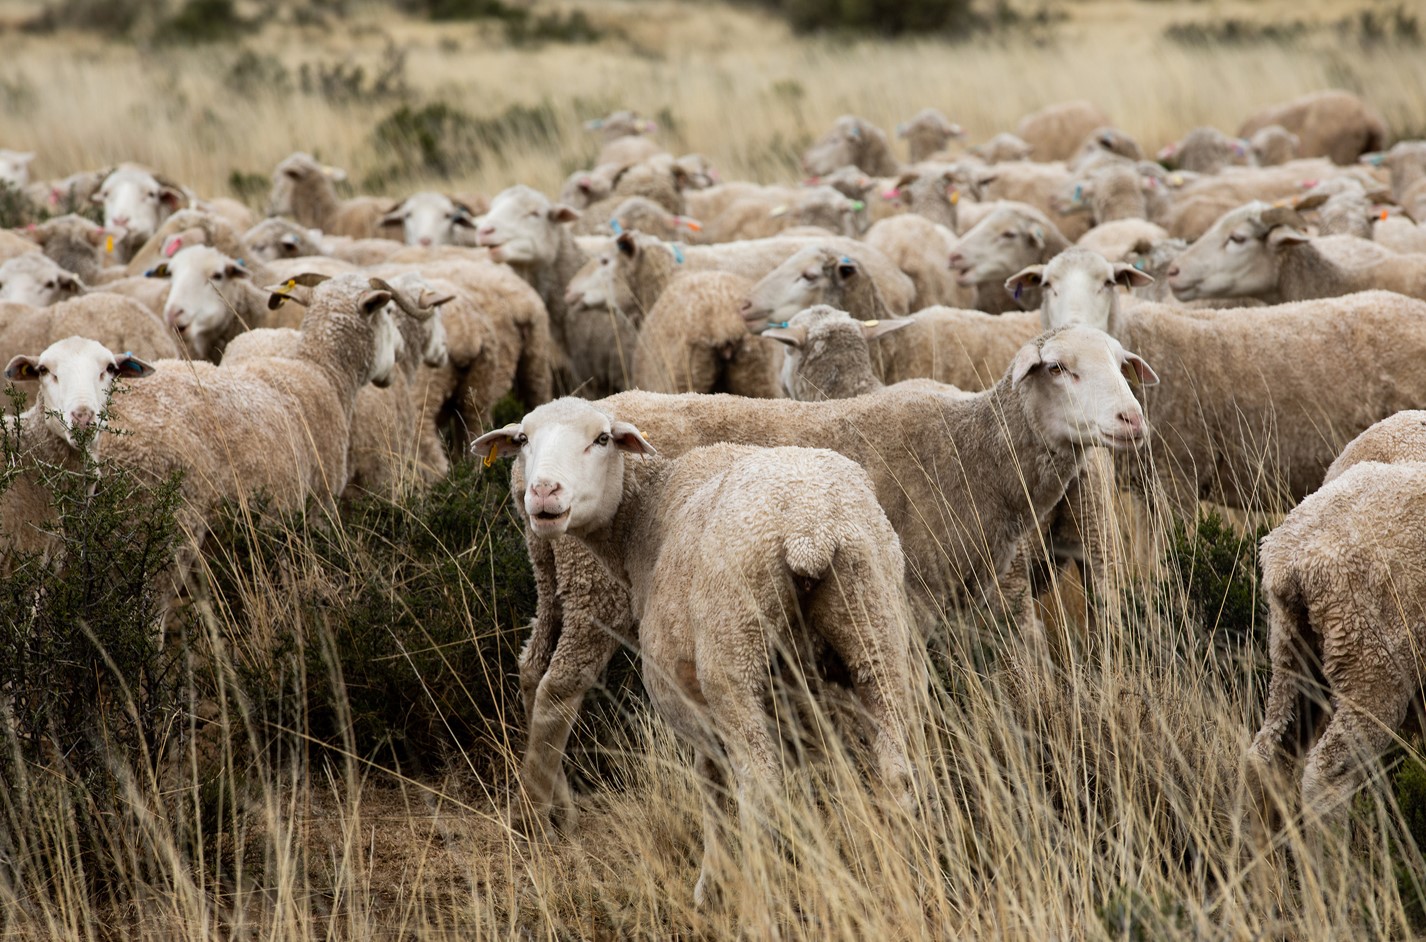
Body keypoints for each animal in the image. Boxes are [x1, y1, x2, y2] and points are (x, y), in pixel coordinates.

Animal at [473, 396, 918, 906]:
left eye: (601, 439)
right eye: (523, 439)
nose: (544, 492)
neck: (647, 513)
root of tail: (811, 531)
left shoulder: (681, 683)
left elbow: (712, 778)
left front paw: (713, 883)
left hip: (732, 652)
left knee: (757, 779)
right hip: (875, 629)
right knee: (896, 768)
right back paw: (898, 878)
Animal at [507, 326, 1152, 826]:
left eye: (1121, 364)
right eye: (1060, 368)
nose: (1132, 419)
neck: (972, 452)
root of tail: (522, 471)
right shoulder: (911, 604)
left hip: (561, 581)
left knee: (532, 671)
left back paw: (551, 800)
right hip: (595, 589)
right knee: (559, 690)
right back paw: (542, 812)